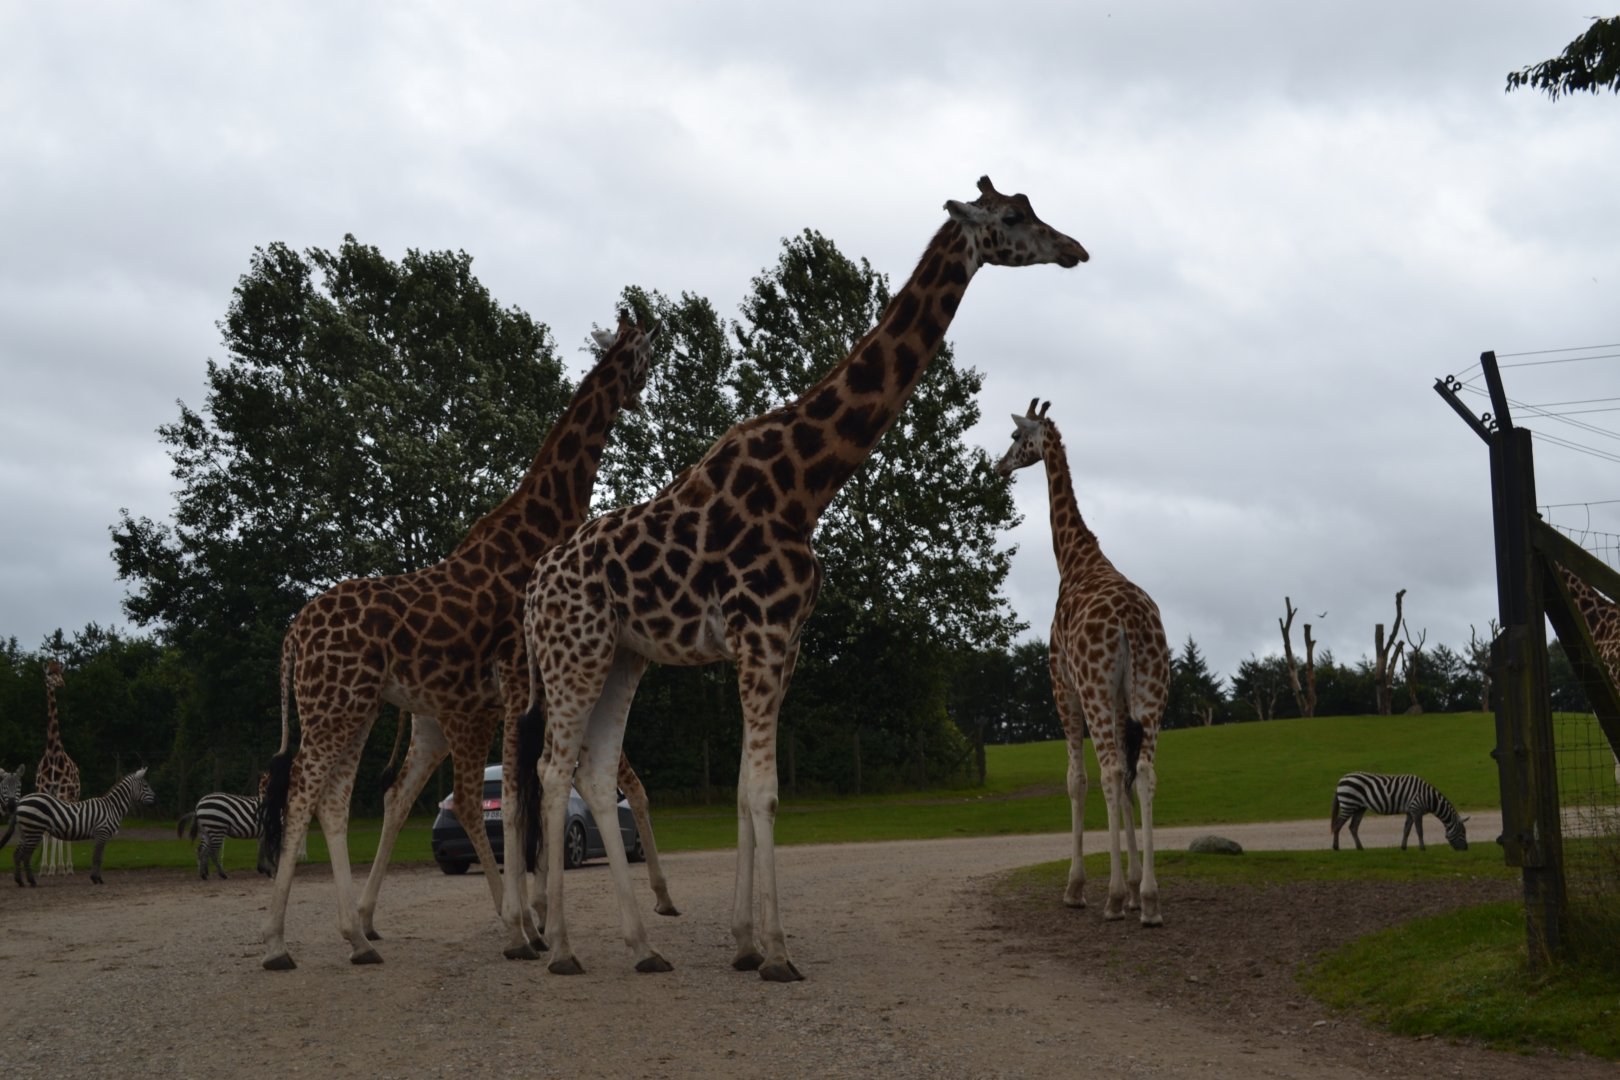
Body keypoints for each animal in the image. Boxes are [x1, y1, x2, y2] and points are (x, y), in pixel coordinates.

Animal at [258, 311, 670, 971]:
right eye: (647, 358)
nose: (639, 397)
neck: (538, 523)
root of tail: (294, 631)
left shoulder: (508, 695)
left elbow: (531, 796)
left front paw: (533, 921)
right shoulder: (518, 680)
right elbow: (521, 801)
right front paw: (526, 927)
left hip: (357, 708)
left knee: (338, 799)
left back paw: (357, 936)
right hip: (337, 706)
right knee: (303, 792)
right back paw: (276, 944)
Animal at [509, 176, 1088, 980]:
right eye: (1011, 217)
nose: (1075, 249)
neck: (806, 486)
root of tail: (533, 590)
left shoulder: (783, 644)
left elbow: (745, 791)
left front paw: (745, 942)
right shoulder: (763, 631)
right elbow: (765, 793)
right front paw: (778, 952)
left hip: (623, 655)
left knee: (591, 772)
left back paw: (643, 947)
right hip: (574, 654)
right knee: (550, 769)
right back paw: (561, 948)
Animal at [996, 399, 1170, 925]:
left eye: (1016, 436)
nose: (996, 466)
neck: (1073, 559)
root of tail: (1132, 624)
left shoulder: (1062, 685)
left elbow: (1077, 780)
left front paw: (1080, 888)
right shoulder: (1121, 700)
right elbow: (1130, 781)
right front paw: (1133, 888)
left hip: (1091, 691)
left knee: (1110, 771)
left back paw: (1111, 899)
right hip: (1153, 691)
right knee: (1144, 773)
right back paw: (1149, 902)